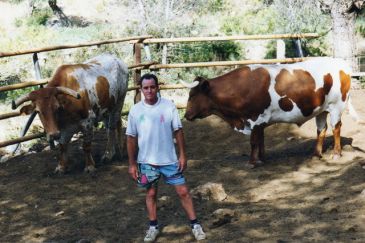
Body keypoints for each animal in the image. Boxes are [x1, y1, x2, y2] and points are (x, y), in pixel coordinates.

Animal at [181, 57, 356, 167]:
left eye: (192, 95)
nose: (186, 115)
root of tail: (342, 64)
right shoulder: (260, 121)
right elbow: (260, 140)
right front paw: (261, 158)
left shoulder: (254, 118)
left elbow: (253, 141)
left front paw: (252, 162)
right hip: (321, 110)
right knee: (321, 129)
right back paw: (316, 154)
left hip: (336, 106)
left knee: (336, 127)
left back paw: (336, 153)